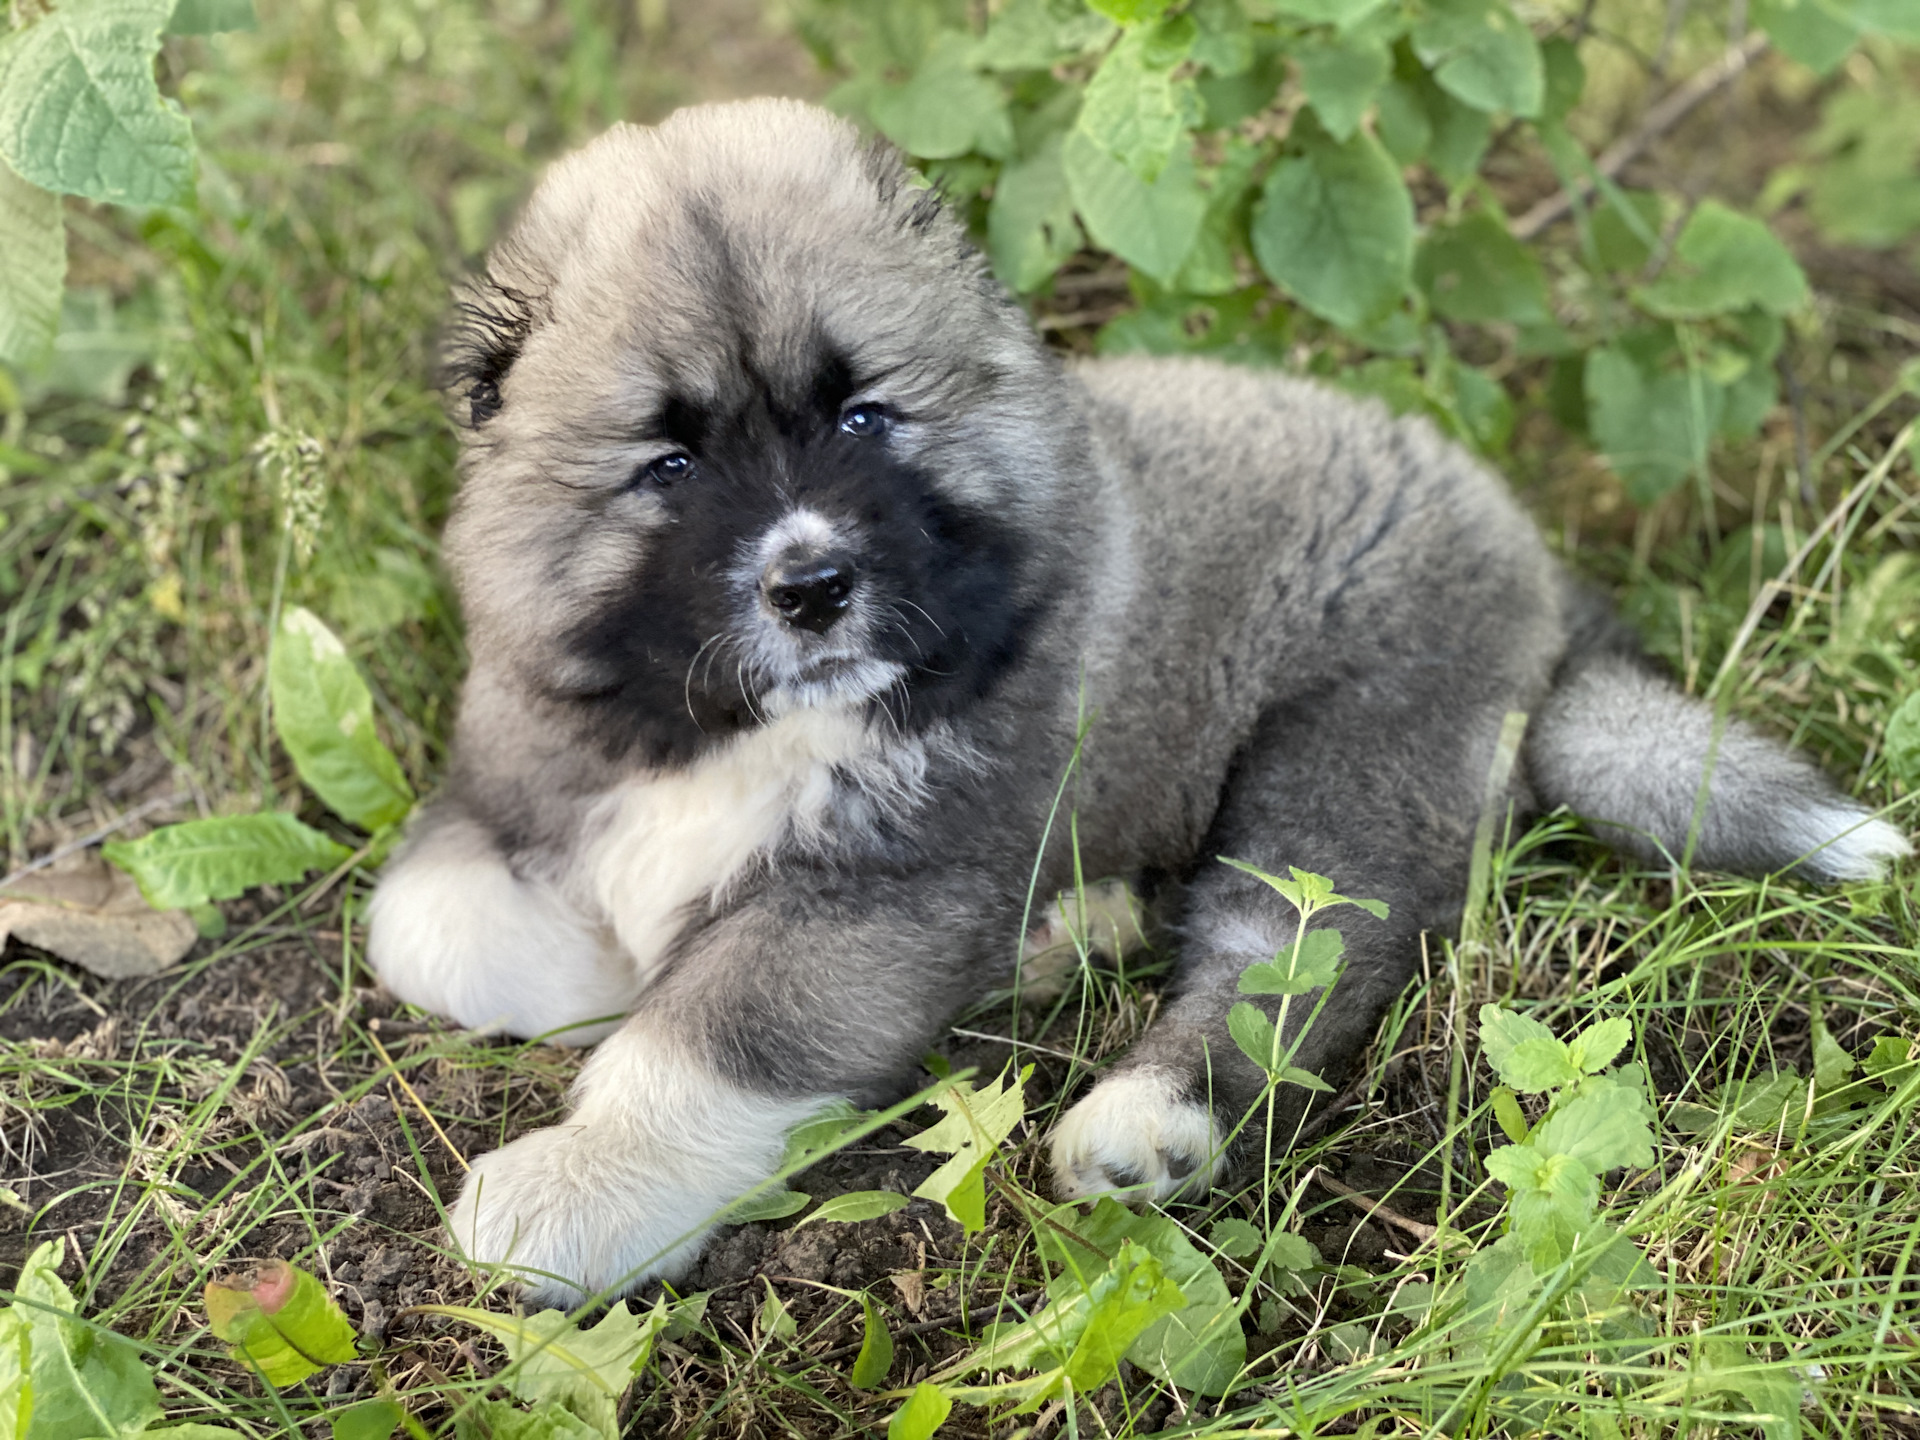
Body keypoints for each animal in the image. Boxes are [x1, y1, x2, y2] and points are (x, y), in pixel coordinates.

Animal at [366, 98, 1912, 1305]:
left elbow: (705, 1036)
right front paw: (600, 974)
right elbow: (427, 928)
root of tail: (1535, 568)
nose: (811, 585)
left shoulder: (868, 895)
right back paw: (1069, 936)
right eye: (670, 466)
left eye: (864, 418)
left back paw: (1144, 1121)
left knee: (1283, 964)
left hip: (1342, 758)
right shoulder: (518, 775)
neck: (741, 724)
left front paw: (585, 1176)